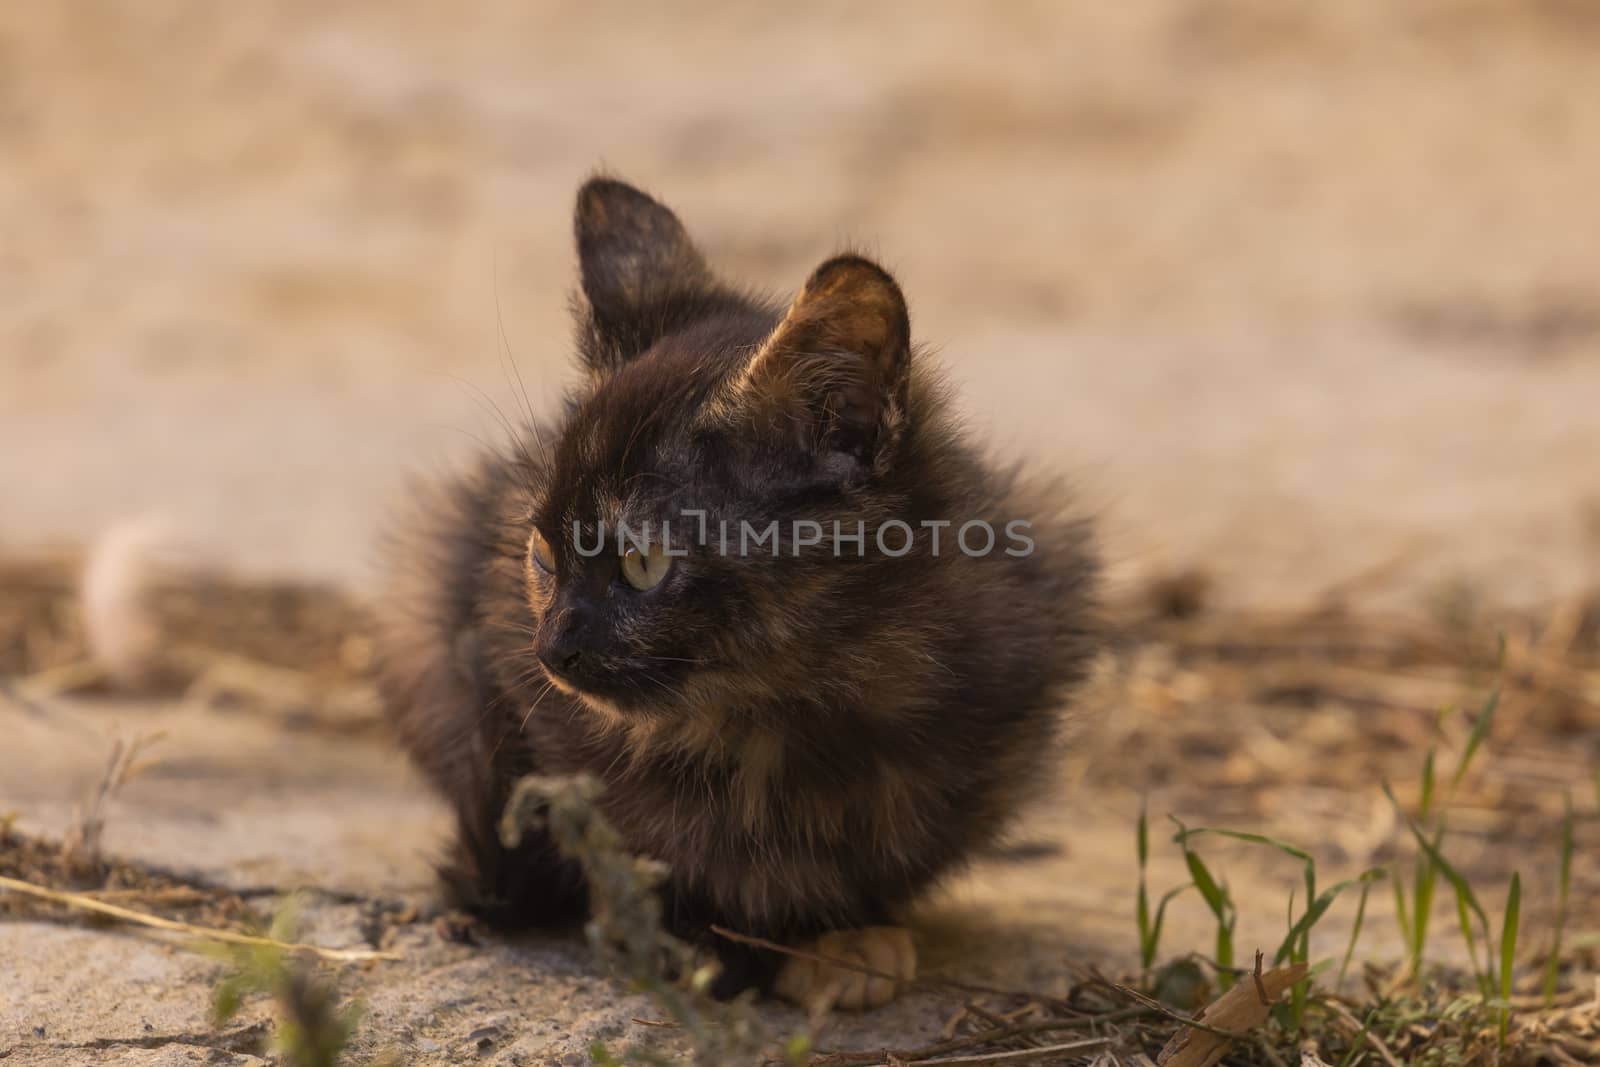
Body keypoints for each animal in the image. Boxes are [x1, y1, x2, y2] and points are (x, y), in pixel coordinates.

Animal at [377, 175, 1100, 1011]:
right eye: (541, 553)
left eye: (644, 562)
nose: (552, 648)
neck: (781, 715)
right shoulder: (478, 656)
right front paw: (685, 938)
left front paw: (841, 932)